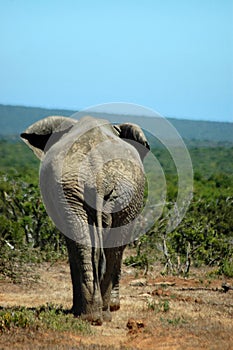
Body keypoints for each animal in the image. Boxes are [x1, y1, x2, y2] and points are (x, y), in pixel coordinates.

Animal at [20, 115, 149, 326]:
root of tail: (98, 174)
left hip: (110, 190)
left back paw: (93, 315)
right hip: (117, 190)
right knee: (109, 247)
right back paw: (98, 315)